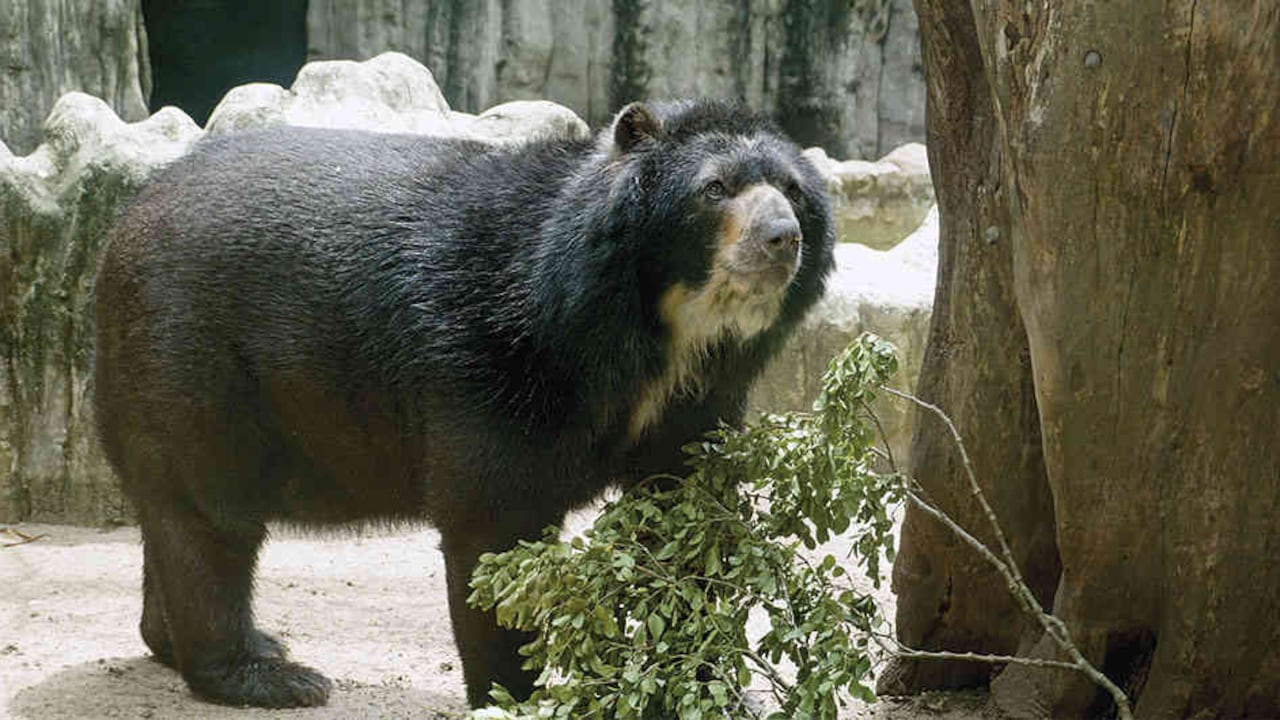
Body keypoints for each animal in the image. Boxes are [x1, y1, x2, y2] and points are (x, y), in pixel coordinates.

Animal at [92, 99, 835, 709]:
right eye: (715, 189)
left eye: (793, 191)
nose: (781, 237)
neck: (655, 333)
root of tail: (124, 221)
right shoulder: (495, 360)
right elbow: (493, 522)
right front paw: (515, 693)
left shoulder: (696, 400)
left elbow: (687, 518)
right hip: (193, 360)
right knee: (209, 514)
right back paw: (268, 674)